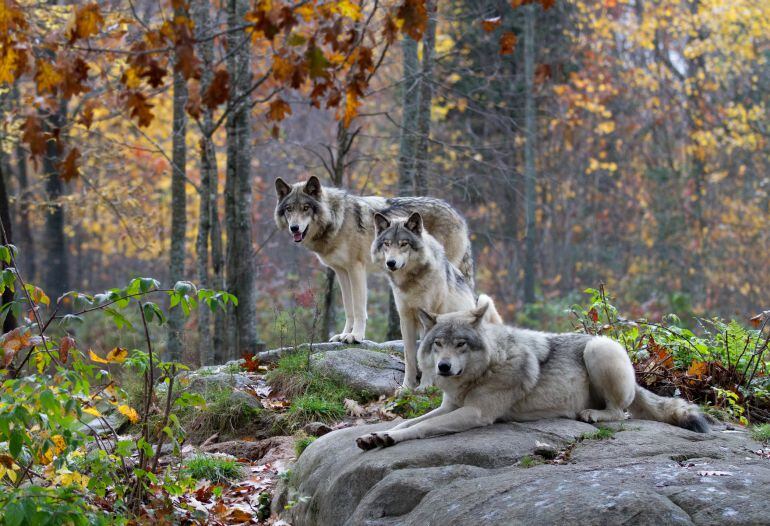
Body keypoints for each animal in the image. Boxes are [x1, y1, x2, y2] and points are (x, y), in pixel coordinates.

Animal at [272, 175, 472, 344]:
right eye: (289, 209)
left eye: (305, 208)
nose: (294, 228)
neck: (338, 220)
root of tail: (458, 215)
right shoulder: (341, 272)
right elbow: (349, 308)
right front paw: (344, 334)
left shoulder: (356, 269)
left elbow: (359, 308)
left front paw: (356, 336)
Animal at [356, 294, 708, 452]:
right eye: (438, 344)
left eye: (461, 344)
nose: (443, 367)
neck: (486, 368)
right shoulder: (450, 406)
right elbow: (409, 421)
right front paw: (377, 434)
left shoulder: (476, 413)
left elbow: (421, 428)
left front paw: (389, 438)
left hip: (598, 349)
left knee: (621, 413)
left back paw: (592, 414)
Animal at [372, 211, 504, 392]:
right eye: (387, 244)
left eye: (404, 244)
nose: (390, 263)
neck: (412, 282)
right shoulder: (405, 319)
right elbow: (410, 357)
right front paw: (407, 387)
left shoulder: (430, 316)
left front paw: (425, 386)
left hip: (485, 300)